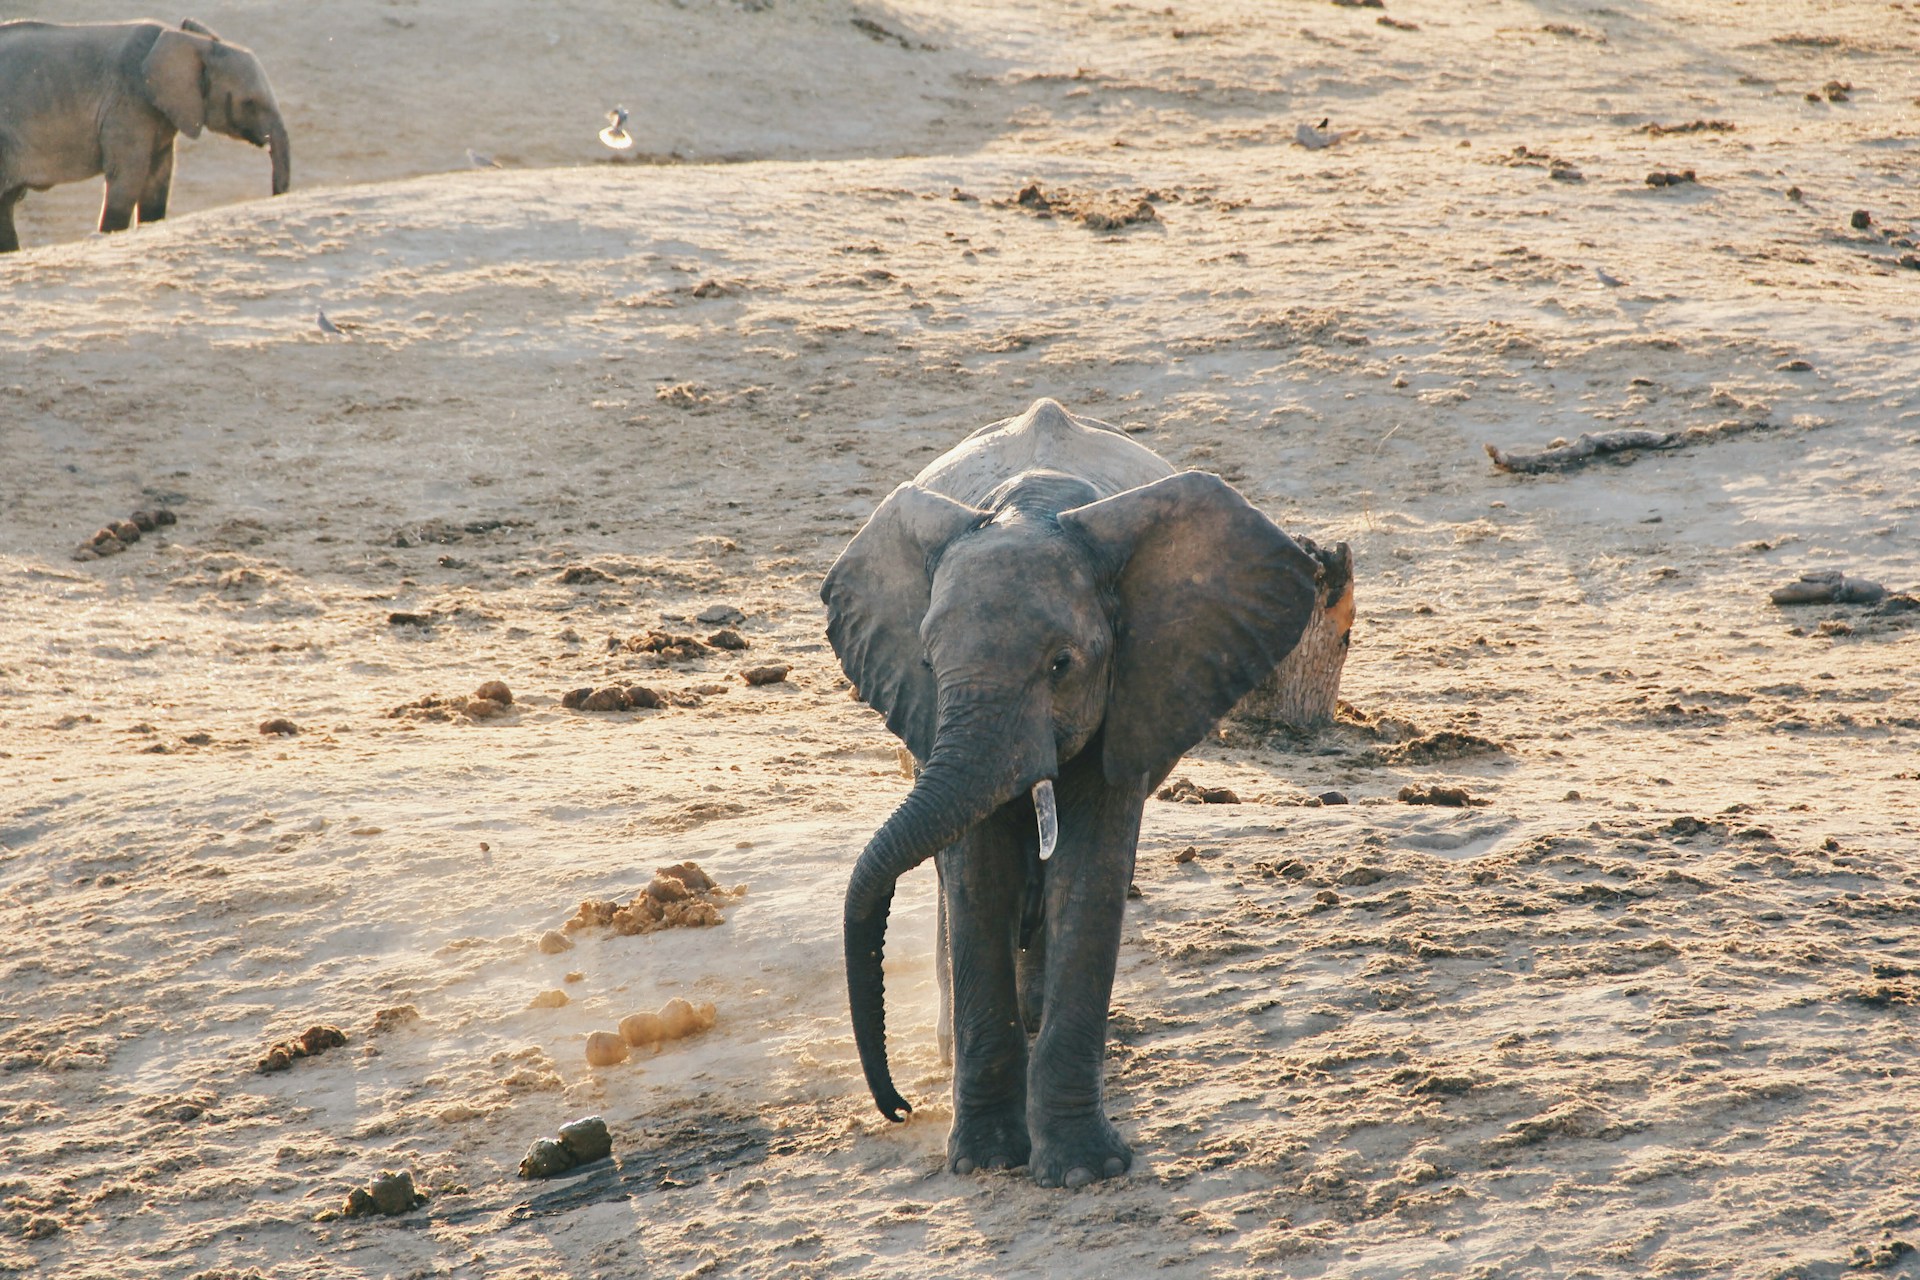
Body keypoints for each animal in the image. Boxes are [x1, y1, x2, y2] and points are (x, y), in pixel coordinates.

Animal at [0, 17, 288, 251]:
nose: (274, 194)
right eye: (249, 103)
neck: (189, 41)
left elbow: (158, 178)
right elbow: (129, 175)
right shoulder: (129, 103)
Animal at [817, 401, 1328, 1189]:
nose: (896, 1108)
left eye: (1062, 664)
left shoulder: (1139, 681)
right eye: (929, 663)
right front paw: (987, 1162)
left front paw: (1084, 1173)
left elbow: (1089, 874)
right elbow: (979, 875)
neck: (1032, 508)